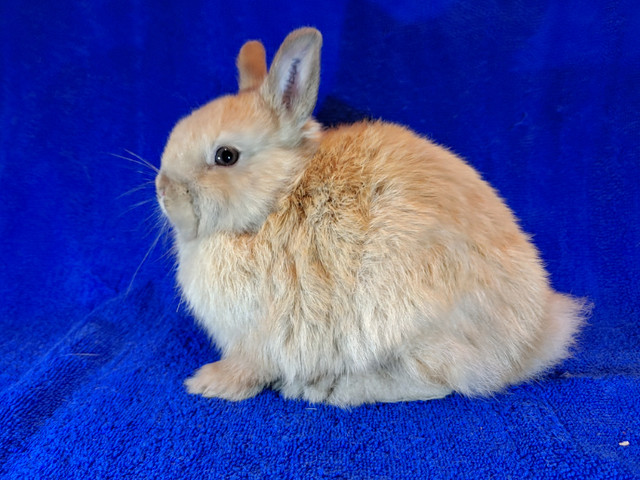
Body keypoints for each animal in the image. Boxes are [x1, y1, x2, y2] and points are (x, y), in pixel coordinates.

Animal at [156, 28, 592, 406]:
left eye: (226, 156)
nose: (164, 190)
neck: (277, 198)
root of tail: (530, 341)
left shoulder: (260, 334)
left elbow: (249, 367)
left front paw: (208, 383)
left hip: (408, 322)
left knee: (435, 383)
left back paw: (328, 388)